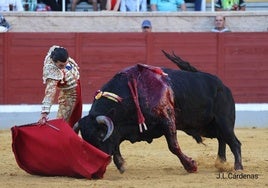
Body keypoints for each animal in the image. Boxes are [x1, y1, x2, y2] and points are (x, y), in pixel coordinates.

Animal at [75, 51, 243, 173]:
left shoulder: (167, 118)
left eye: (100, 135)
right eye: (86, 139)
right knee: (222, 139)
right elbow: (115, 145)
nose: (99, 167)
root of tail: (222, 85)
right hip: (208, 126)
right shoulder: (120, 129)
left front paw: (191, 166)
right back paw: (221, 163)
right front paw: (122, 166)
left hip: (224, 122)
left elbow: (173, 146)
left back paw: (237, 167)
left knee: (234, 142)